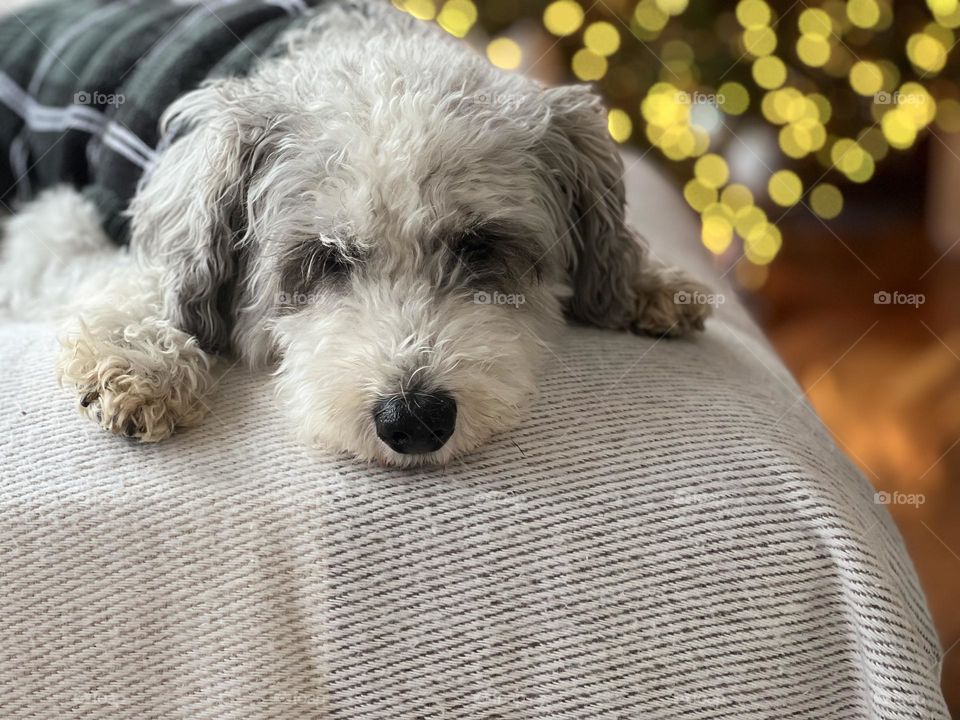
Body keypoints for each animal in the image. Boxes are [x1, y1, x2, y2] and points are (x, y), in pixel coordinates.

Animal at [1, 0, 712, 466]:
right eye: (326, 256)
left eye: (479, 246)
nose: (416, 419)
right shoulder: (53, 226)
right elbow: (140, 270)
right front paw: (140, 356)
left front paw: (648, 283)